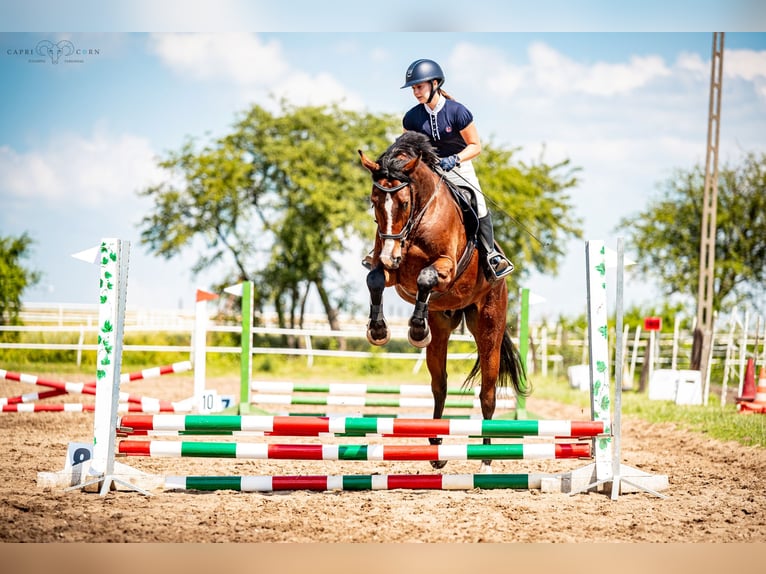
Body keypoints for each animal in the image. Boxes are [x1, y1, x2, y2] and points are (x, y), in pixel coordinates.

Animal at [358, 133, 528, 474]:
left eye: (404, 203)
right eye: (373, 201)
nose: (391, 255)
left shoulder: (445, 267)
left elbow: (425, 278)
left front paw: (414, 329)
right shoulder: (390, 268)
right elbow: (375, 278)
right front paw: (379, 331)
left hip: (489, 326)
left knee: (487, 395)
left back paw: (485, 462)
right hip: (441, 328)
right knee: (440, 386)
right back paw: (436, 448)